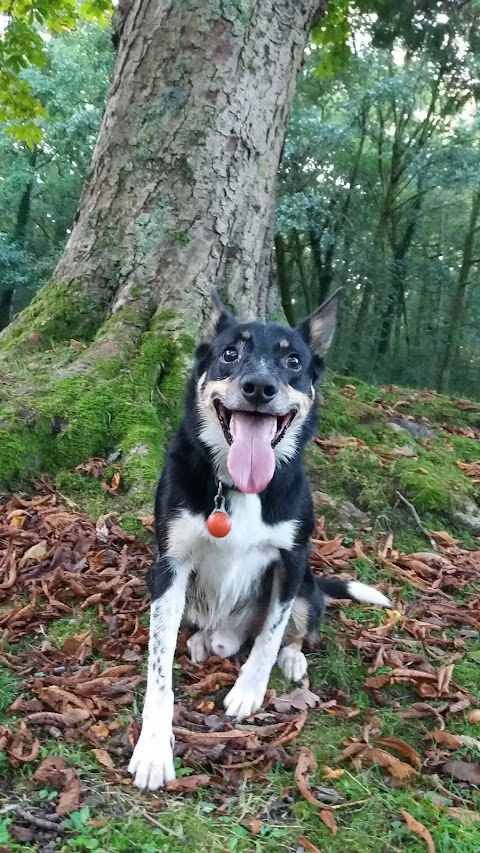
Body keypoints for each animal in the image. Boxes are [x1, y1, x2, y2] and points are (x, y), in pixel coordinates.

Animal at [129, 290, 392, 788]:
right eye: (231, 353)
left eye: (293, 361)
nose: (259, 388)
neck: (241, 486)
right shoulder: (168, 567)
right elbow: (158, 669)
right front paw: (153, 747)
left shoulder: (293, 559)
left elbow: (270, 635)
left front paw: (249, 690)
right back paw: (201, 641)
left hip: (307, 584)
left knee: (295, 631)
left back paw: (292, 659)